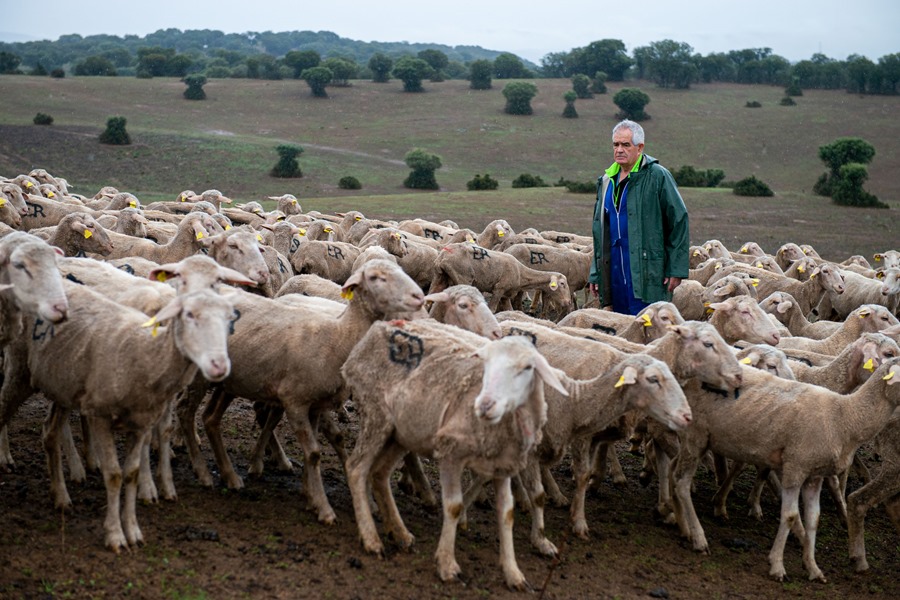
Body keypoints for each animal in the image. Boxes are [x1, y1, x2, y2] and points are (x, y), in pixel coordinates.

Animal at [344, 323, 568, 590]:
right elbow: (453, 506)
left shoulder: (502, 465)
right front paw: (447, 564)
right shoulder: (451, 452)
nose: (485, 405)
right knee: (356, 468)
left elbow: (506, 514)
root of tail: (376, 329)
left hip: (401, 432)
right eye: (486, 364)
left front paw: (514, 574)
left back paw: (400, 534)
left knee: (379, 474)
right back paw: (371, 539)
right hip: (375, 413)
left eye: (527, 368)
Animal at [670, 357, 900, 582]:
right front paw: (777, 566)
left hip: (695, 439)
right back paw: (698, 538)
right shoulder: (795, 467)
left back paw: (680, 524)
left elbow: (813, 519)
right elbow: (789, 515)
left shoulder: (814, 475)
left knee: (672, 471)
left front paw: (813, 568)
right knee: (681, 483)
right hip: (695, 434)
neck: (845, 416)